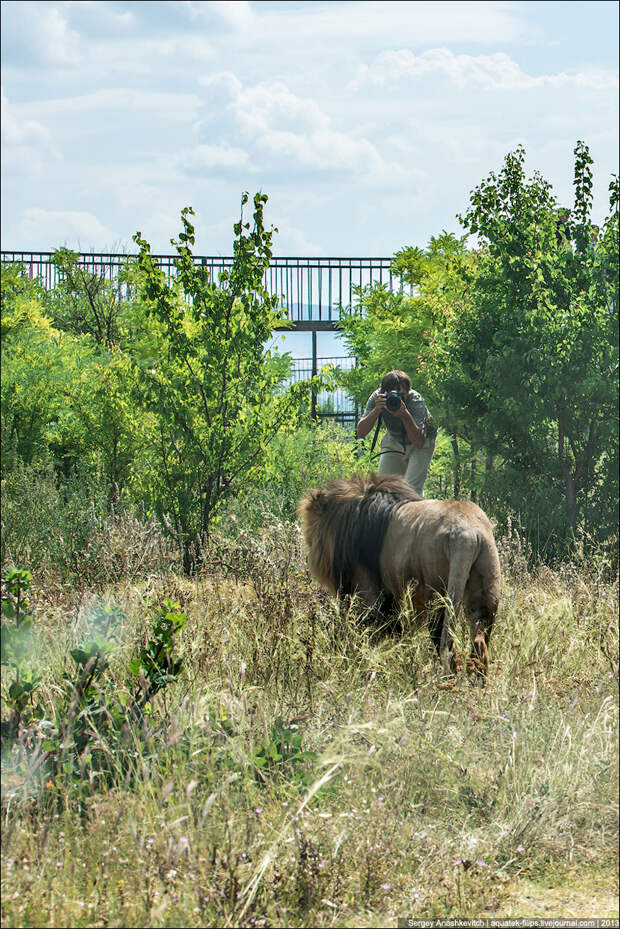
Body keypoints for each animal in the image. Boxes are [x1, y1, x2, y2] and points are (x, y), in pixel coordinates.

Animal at [298, 474, 502, 676]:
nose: (308, 556)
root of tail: (466, 535)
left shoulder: (366, 593)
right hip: (486, 588)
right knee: (479, 644)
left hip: (438, 596)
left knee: (445, 646)